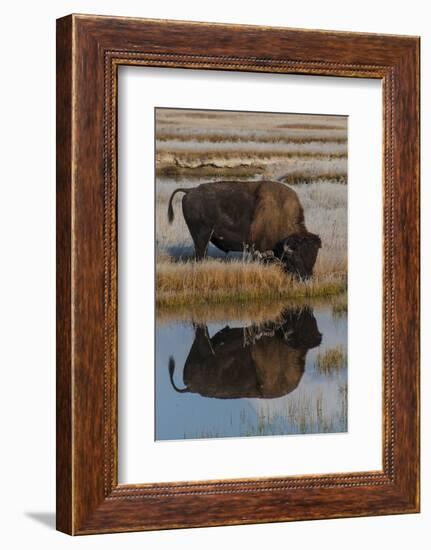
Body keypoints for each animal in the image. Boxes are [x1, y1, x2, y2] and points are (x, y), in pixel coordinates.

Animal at [167, 181, 322, 280]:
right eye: (297, 257)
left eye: (314, 256)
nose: (307, 277)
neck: (280, 212)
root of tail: (190, 190)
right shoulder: (260, 250)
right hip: (201, 237)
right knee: (200, 254)